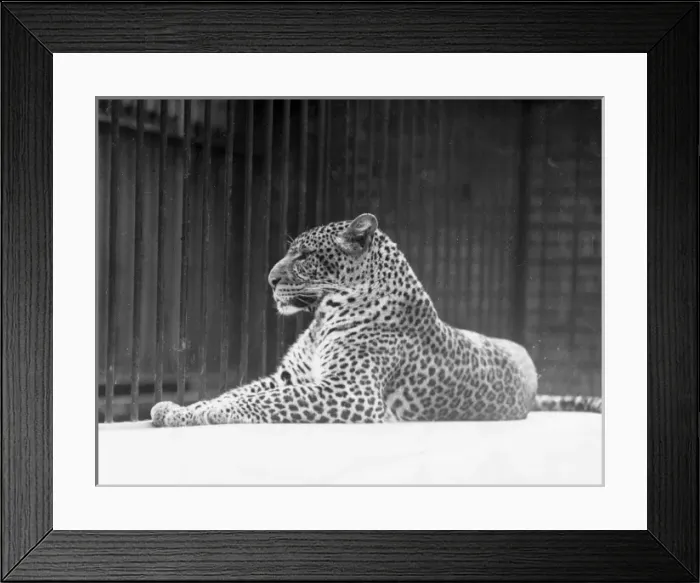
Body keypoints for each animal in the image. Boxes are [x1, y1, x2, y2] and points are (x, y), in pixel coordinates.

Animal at [151, 213, 602, 427]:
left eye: (304, 256)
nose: (270, 278)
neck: (322, 317)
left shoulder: (350, 392)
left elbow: (258, 400)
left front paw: (203, 415)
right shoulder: (291, 377)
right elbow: (238, 391)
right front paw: (181, 409)